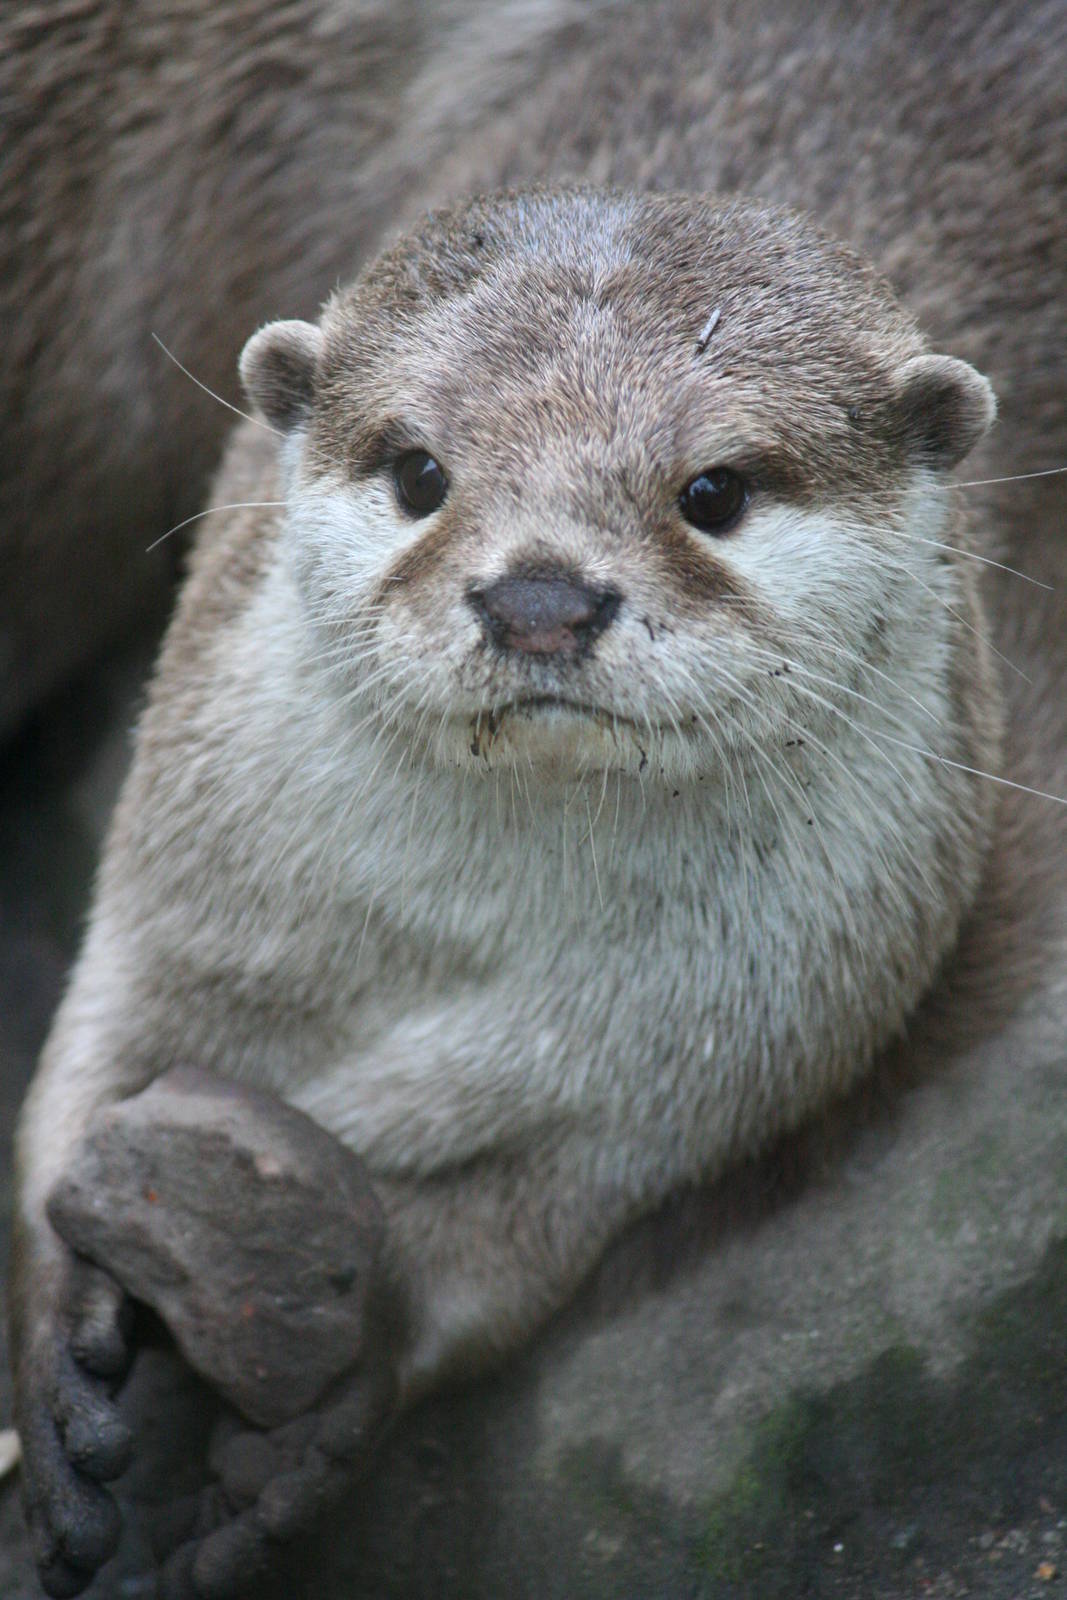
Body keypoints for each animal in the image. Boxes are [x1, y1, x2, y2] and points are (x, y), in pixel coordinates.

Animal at [8, 3, 1066, 1597]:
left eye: (712, 489)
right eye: (418, 468)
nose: (542, 596)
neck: (443, 954)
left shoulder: (670, 1088)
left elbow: (497, 1258)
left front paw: (320, 1411)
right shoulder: (182, 899)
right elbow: (82, 1075)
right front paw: (62, 1338)